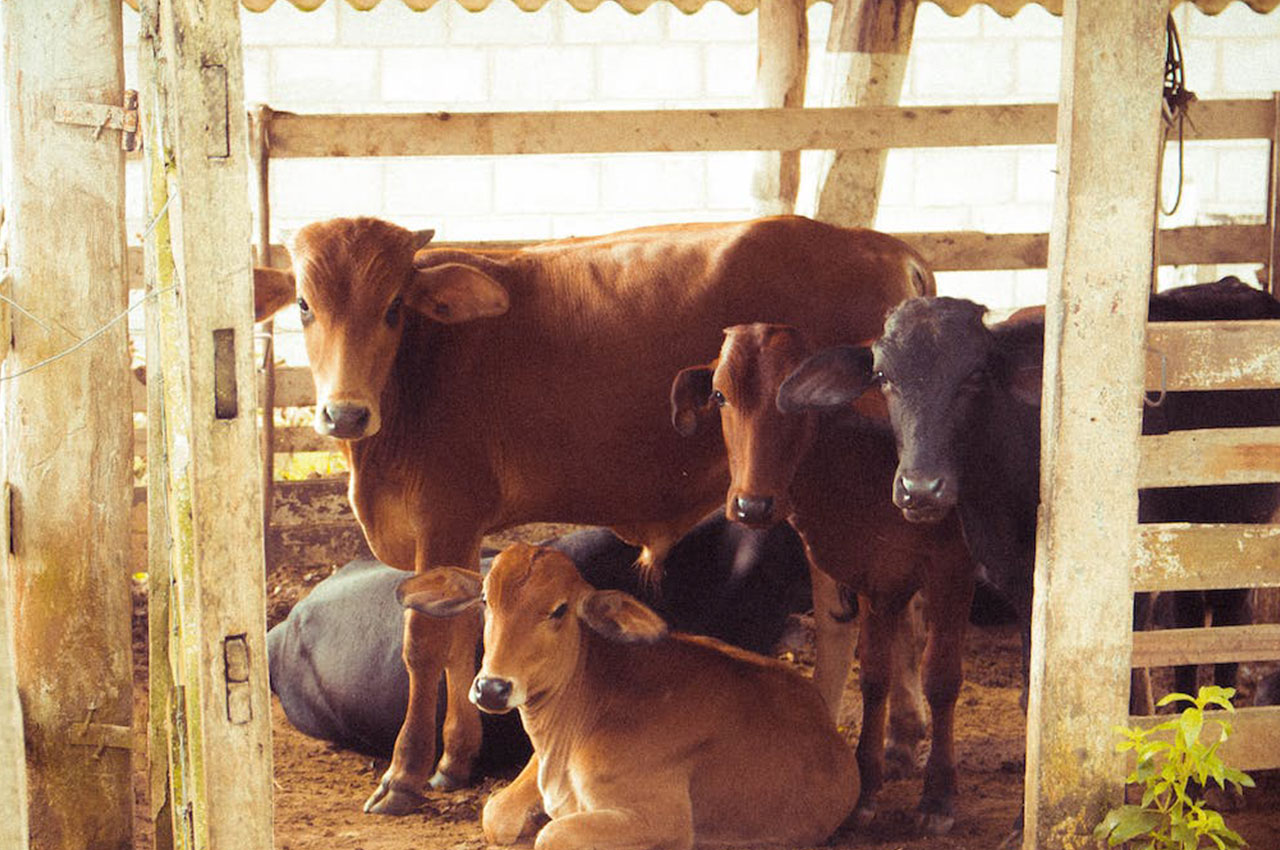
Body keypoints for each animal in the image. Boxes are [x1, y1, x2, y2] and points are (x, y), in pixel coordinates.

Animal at [399, 545, 860, 850]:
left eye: (560, 610)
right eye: (484, 600)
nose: (492, 687)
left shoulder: (663, 819)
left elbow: (552, 835)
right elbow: (495, 814)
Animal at [670, 325, 967, 834]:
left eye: (796, 398)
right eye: (719, 395)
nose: (752, 505)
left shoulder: (952, 567)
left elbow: (942, 678)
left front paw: (938, 797)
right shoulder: (876, 577)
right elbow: (874, 676)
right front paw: (865, 786)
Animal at [778, 279, 1280, 701]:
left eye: (975, 375)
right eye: (883, 377)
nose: (921, 488)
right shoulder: (1019, 583)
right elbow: (1029, 689)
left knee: (1229, 616)